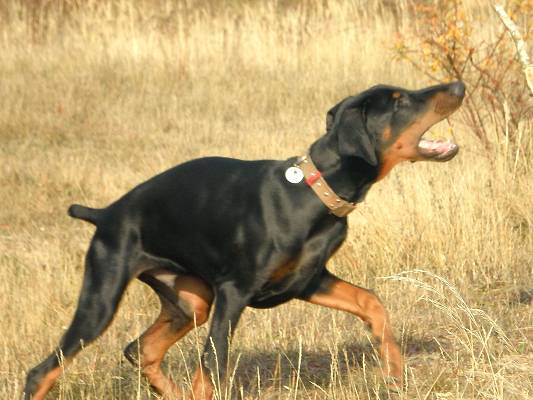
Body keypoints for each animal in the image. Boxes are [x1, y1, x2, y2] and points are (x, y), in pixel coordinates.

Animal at [24, 81, 465, 399]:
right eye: (399, 102)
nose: (458, 85)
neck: (312, 191)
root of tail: (106, 213)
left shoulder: (307, 280)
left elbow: (371, 301)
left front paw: (395, 372)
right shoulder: (234, 292)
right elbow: (212, 368)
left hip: (191, 302)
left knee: (141, 349)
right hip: (102, 299)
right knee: (42, 371)